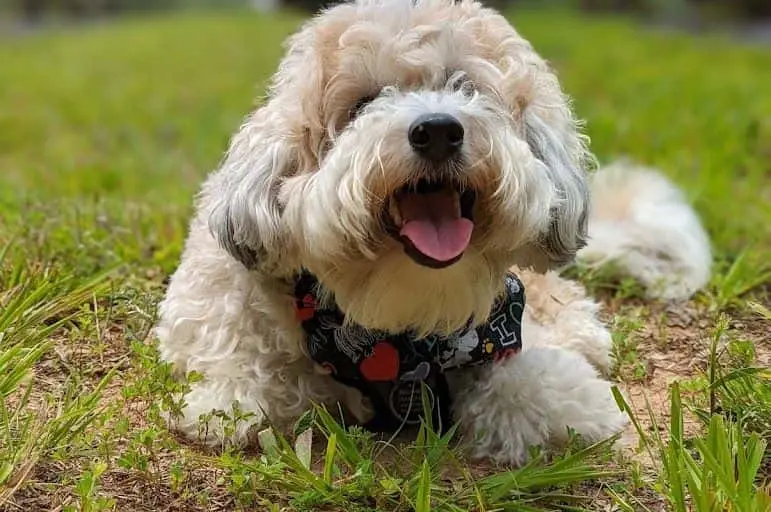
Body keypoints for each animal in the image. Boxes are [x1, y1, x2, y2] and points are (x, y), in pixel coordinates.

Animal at [155, 0, 712, 464]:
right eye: (363, 103)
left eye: (464, 86)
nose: (439, 130)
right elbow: (252, 383)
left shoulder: (502, 332)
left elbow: (536, 391)